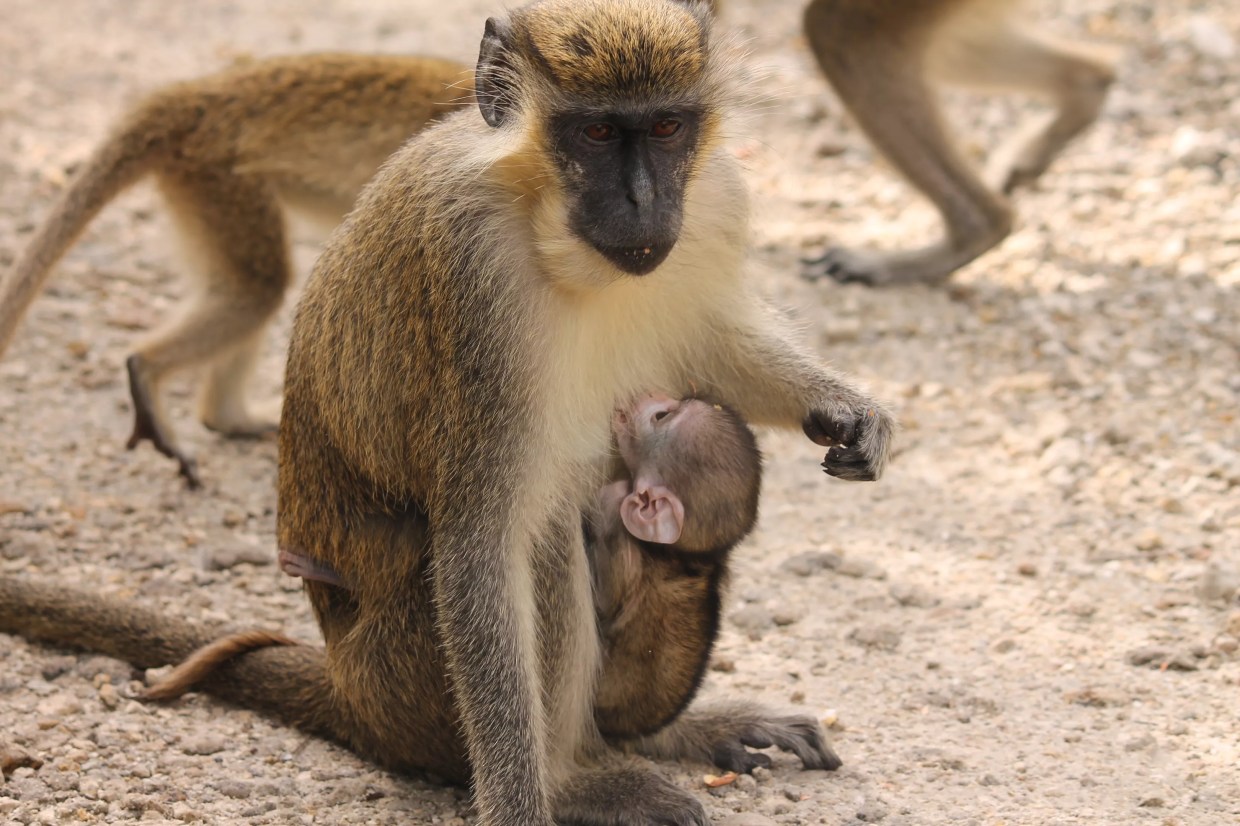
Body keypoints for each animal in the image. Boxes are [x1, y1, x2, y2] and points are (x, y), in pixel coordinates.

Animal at [274, 0, 895, 823]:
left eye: (666, 127)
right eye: (596, 133)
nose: (643, 201)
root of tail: (352, 692)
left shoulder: (715, 195)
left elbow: (711, 343)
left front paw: (845, 408)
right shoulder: (474, 270)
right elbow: (481, 545)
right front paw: (523, 804)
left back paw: (669, 734)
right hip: (410, 683)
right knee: (547, 535)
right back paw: (574, 780)